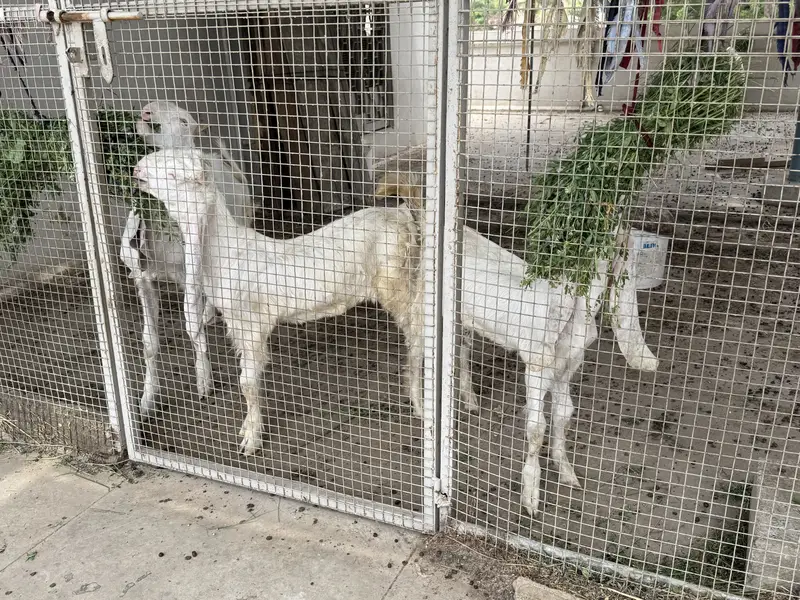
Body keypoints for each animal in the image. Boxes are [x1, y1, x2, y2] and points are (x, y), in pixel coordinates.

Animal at [120, 101, 255, 415]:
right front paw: (147, 400)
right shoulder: (142, 277)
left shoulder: (189, 273)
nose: (146, 111)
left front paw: (204, 380)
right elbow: (149, 342)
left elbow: (192, 325)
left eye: (184, 120)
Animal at [132, 147, 425, 456]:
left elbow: (248, 383)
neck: (229, 253)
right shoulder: (236, 325)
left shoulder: (252, 325)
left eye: (173, 174)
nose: (137, 170)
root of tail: (403, 213)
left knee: (417, 330)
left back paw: (419, 402)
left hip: (397, 280)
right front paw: (246, 429)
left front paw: (252, 440)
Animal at [376, 173, 659, 516]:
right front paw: (531, 498)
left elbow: (564, 413)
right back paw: (420, 408)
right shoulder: (536, 363)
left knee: (461, 352)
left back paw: (470, 400)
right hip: (422, 309)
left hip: (463, 320)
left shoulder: (568, 364)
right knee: (415, 355)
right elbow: (536, 427)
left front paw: (567, 473)